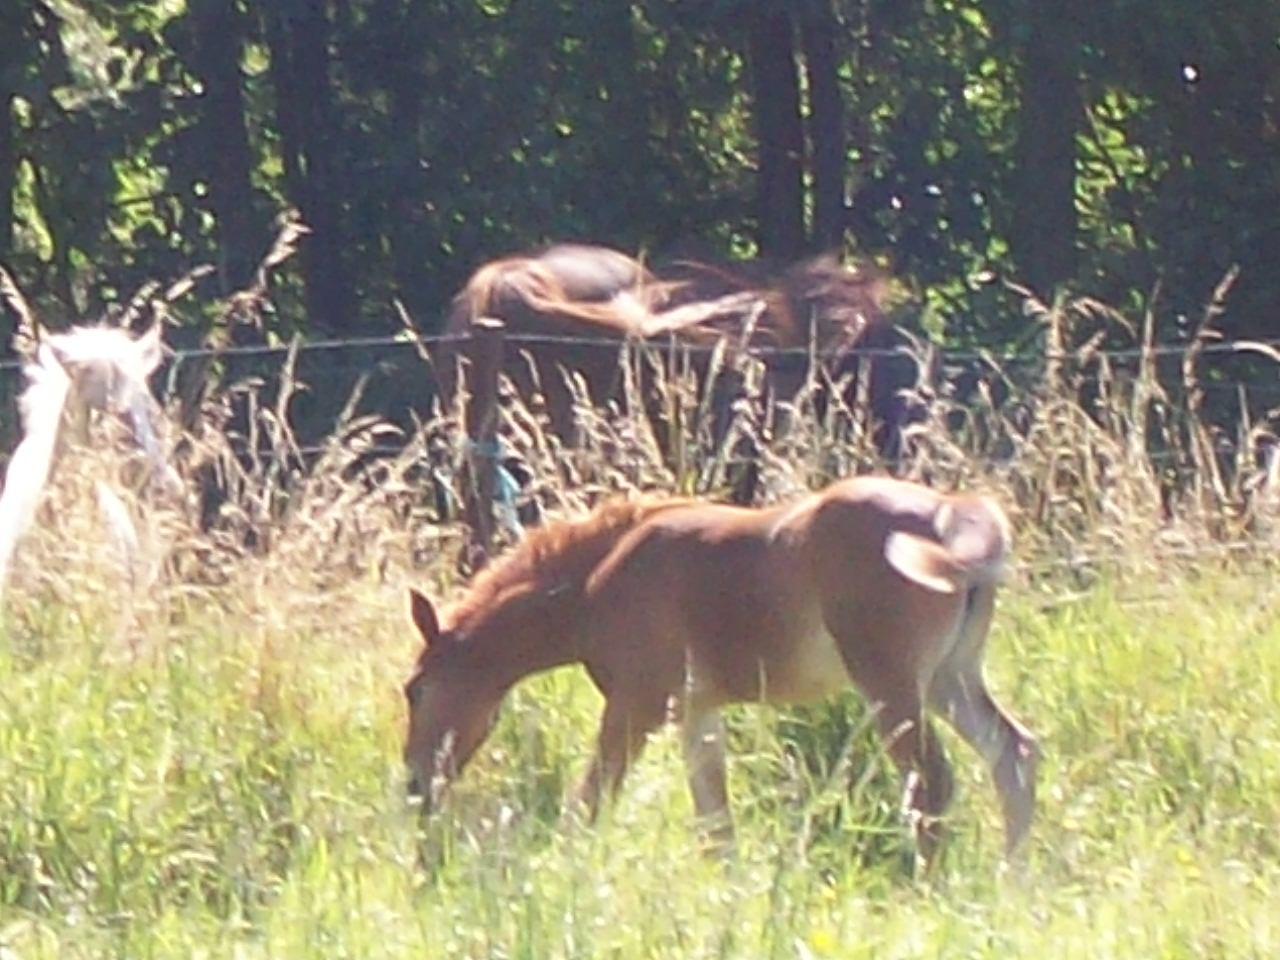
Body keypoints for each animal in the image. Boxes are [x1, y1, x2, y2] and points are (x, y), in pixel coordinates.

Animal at [401, 478, 1039, 865]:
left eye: (415, 690)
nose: (415, 786)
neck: (595, 578)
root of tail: (951, 512)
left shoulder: (635, 706)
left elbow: (590, 801)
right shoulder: (697, 710)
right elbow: (716, 825)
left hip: (893, 685)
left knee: (933, 783)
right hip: (950, 679)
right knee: (1014, 755)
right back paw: (1011, 881)